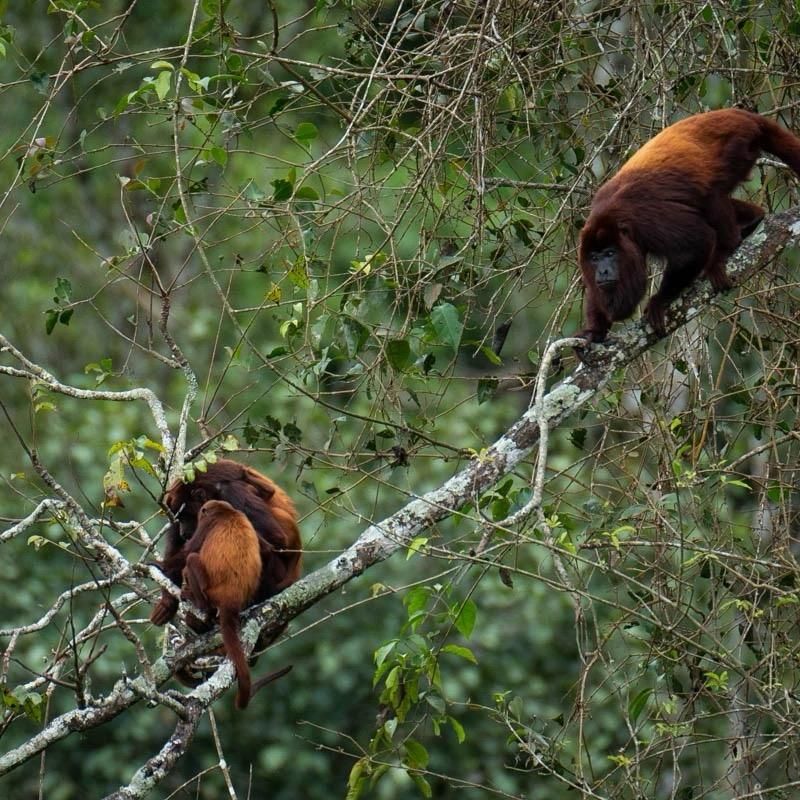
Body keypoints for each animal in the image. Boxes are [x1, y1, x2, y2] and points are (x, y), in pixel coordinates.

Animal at [577, 109, 800, 344]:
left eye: (610, 253)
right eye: (594, 257)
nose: (602, 271)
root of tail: (741, 114)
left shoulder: (648, 221)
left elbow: (696, 244)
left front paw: (659, 301)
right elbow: (593, 294)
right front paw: (594, 331)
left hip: (737, 146)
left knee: (713, 193)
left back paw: (724, 250)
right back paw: (754, 218)